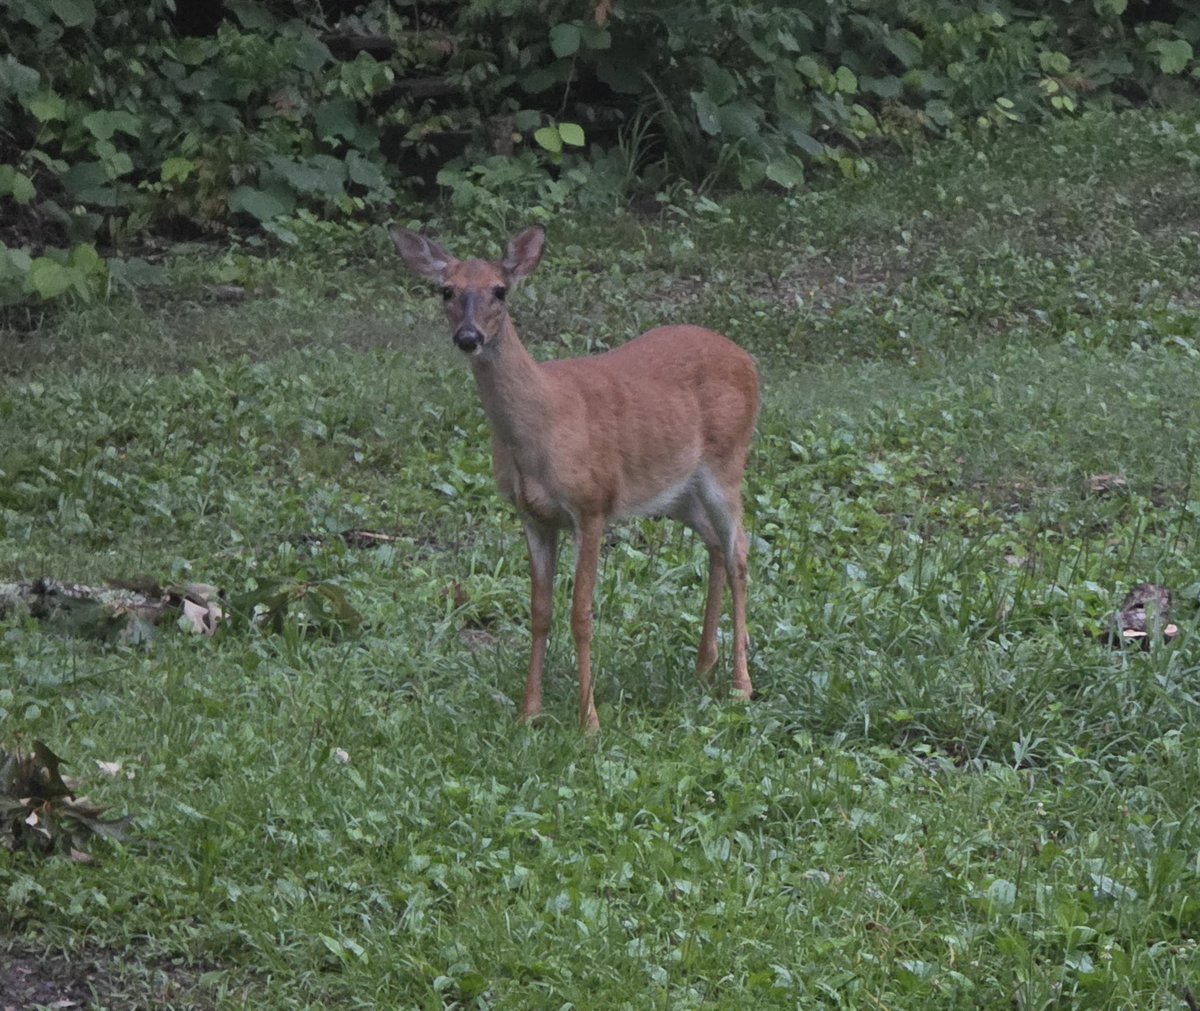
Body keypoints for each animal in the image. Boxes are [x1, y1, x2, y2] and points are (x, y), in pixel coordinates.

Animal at [391, 224, 759, 732]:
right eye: (446, 290)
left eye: (500, 290)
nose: (468, 337)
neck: (540, 431)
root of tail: (749, 361)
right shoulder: (532, 516)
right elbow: (540, 611)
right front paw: (529, 712)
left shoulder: (592, 504)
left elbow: (581, 613)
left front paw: (589, 722)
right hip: (675, 491)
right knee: (715, 544)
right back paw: (704, 667)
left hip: (727, 460)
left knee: (739, 548)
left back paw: (741, 684)